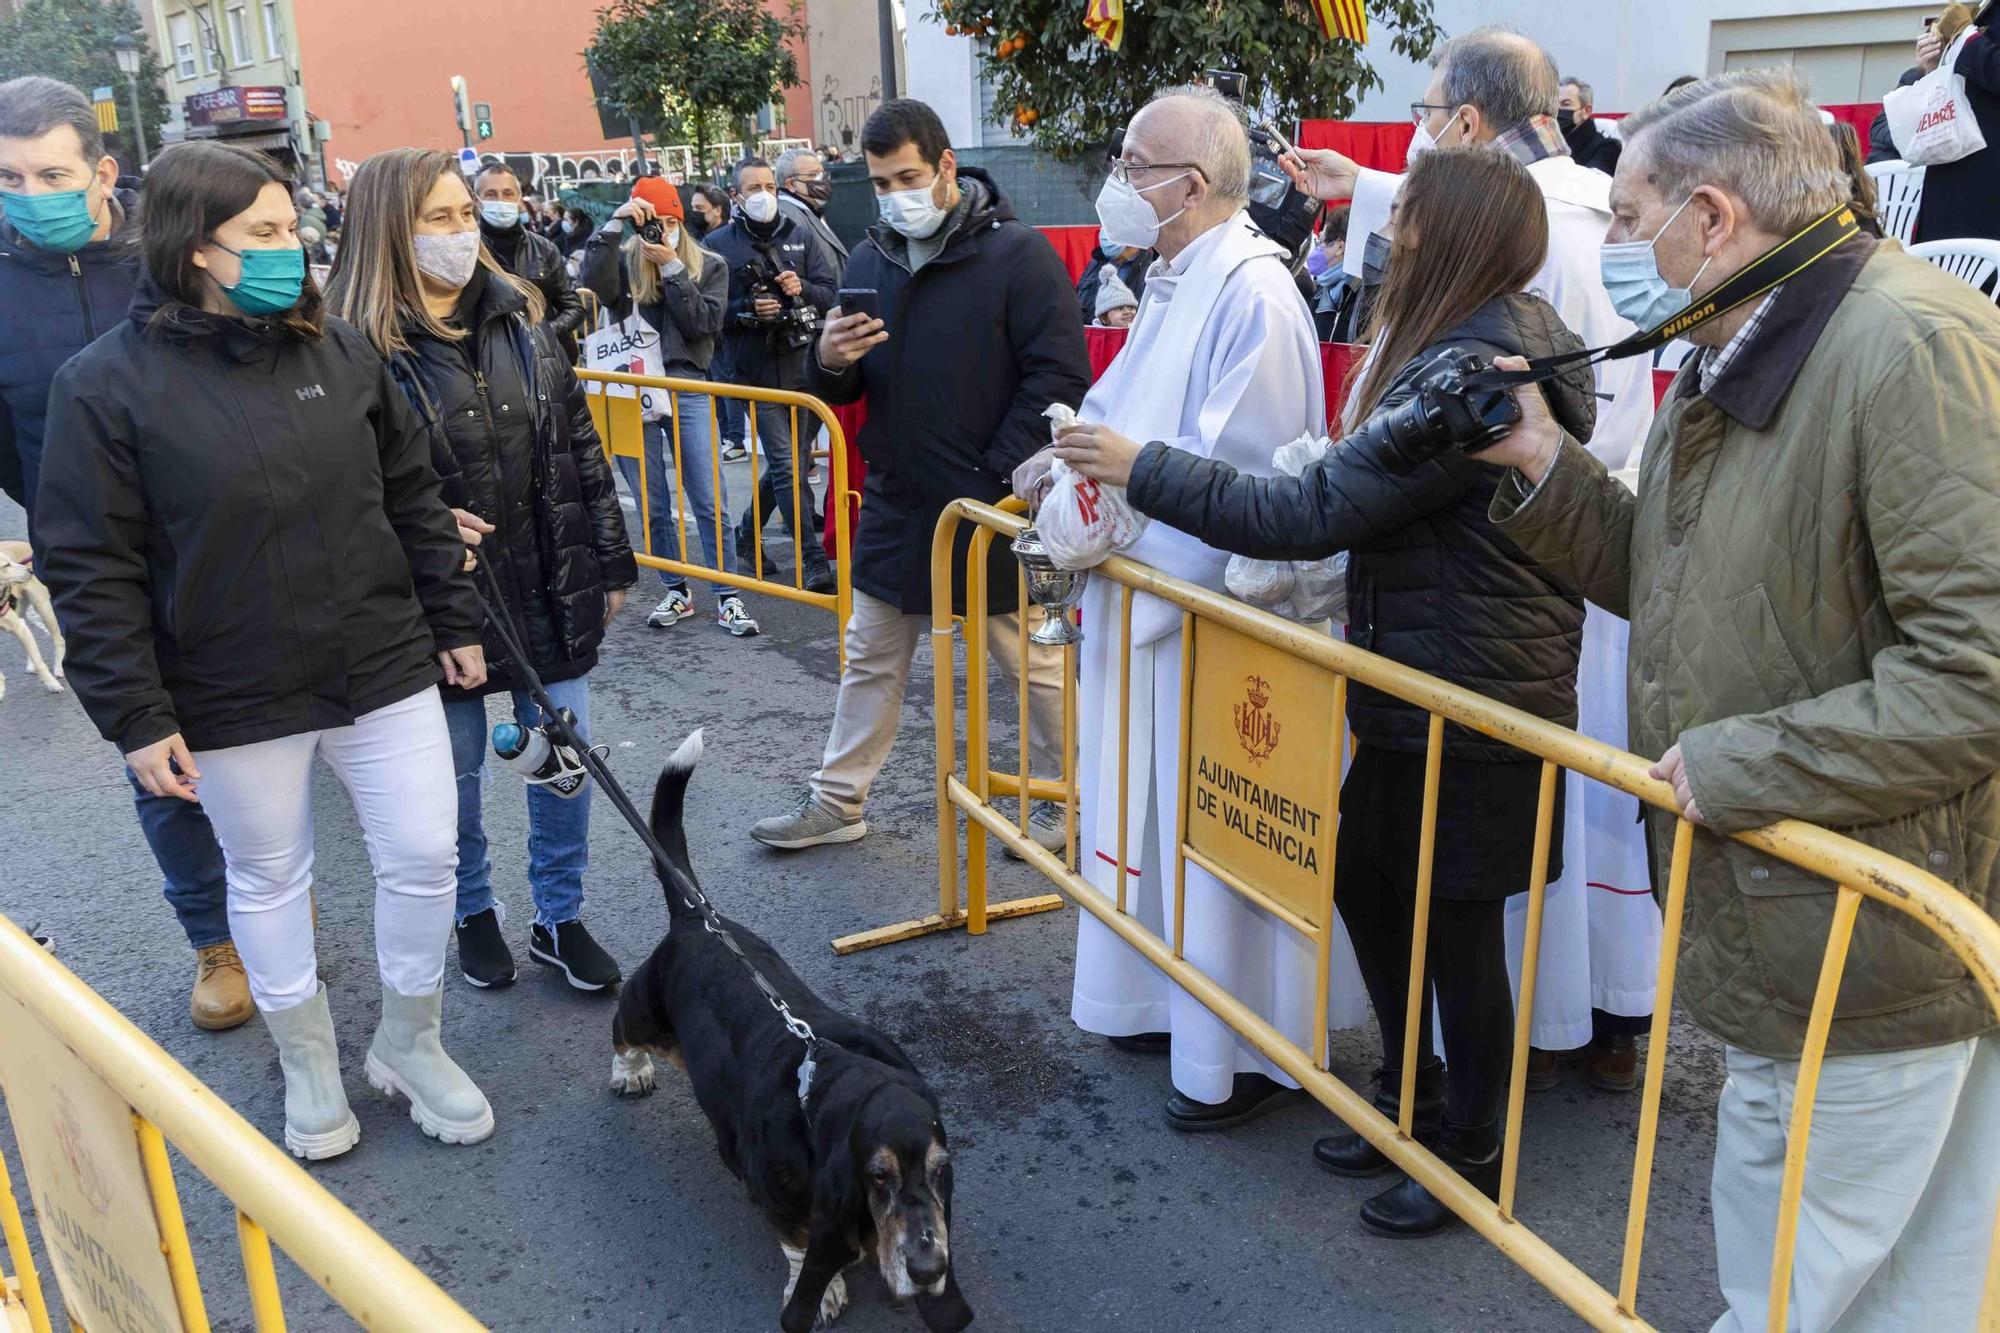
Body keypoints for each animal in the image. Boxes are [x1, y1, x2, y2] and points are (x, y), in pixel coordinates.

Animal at [616, 732, 976, 1320]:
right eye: (877, 1177)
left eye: (941, 1171)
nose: (929, 1271)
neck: (826, 1088)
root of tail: (696, 916)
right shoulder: (777, 1199)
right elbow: (801, 1244)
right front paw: (823, 1290)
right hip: (646, 1009)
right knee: (622, 1028)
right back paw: (630, 1072)